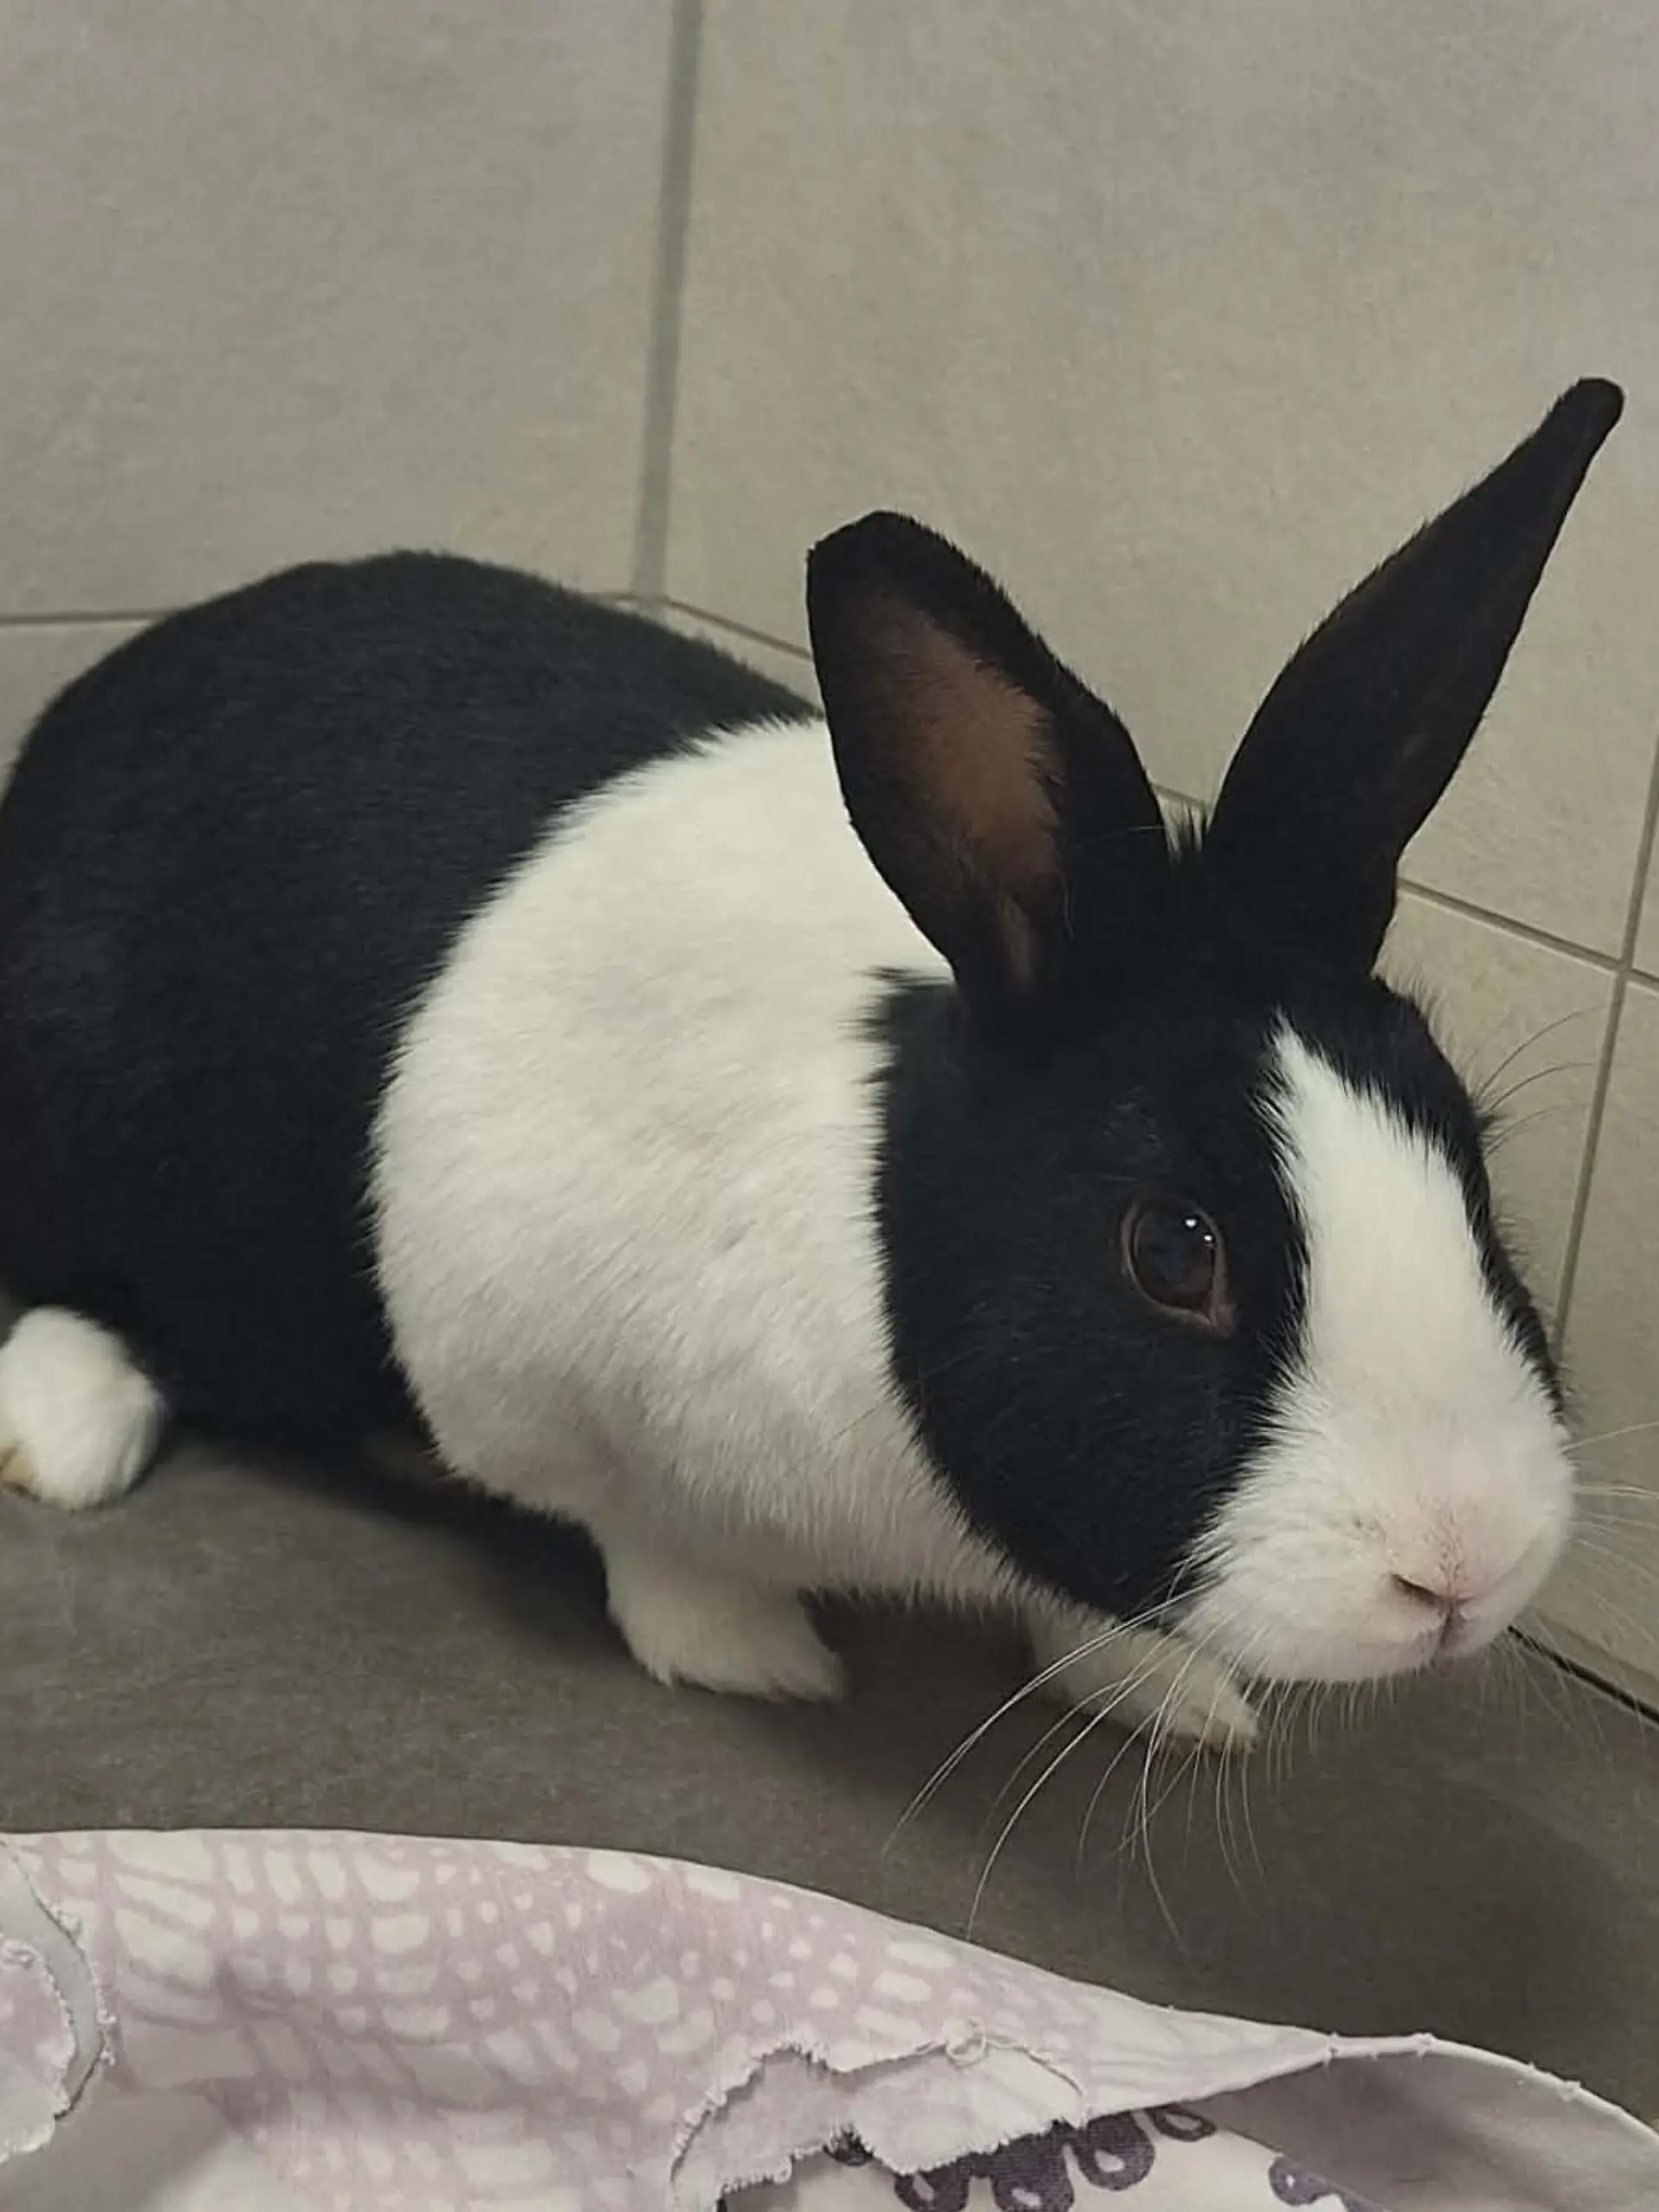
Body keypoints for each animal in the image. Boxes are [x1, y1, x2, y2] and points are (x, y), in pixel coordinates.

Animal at [0, 379, 1622, 1754]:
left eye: (1468, 1151)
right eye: (1173, 1250)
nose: (1462, 1567)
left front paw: (1177, 1698)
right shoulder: (538, 1383)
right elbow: (653, 1549)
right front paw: (752, 1656)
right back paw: (65, 1433)